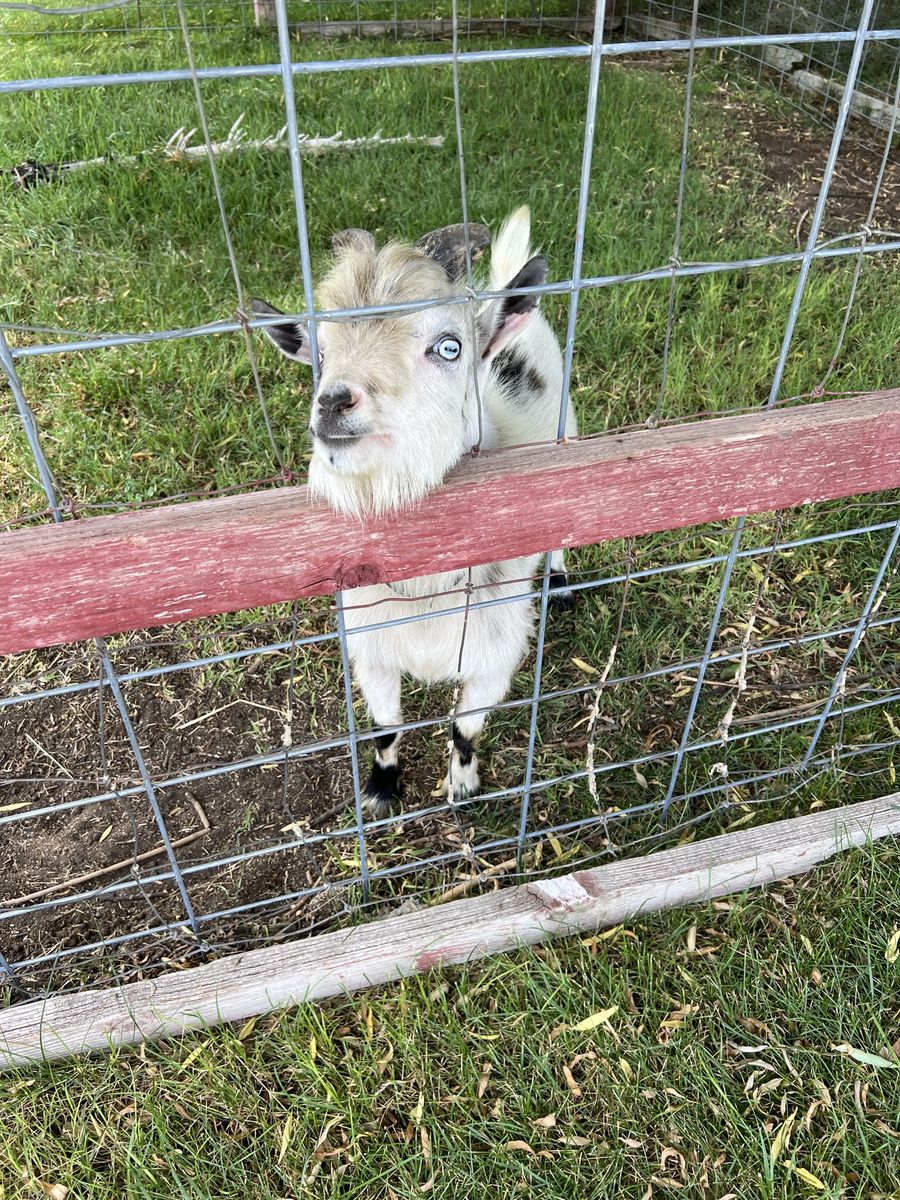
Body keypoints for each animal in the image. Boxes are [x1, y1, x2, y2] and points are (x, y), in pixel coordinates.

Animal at [252, 206, 577, 814]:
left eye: (449, 347)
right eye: (320, 354)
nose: (334, 402)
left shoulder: (494, 655)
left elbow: (464, 729)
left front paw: (462, 788)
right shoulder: (371, 649)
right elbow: (385, 728)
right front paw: (381, 793)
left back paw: (562, 583)